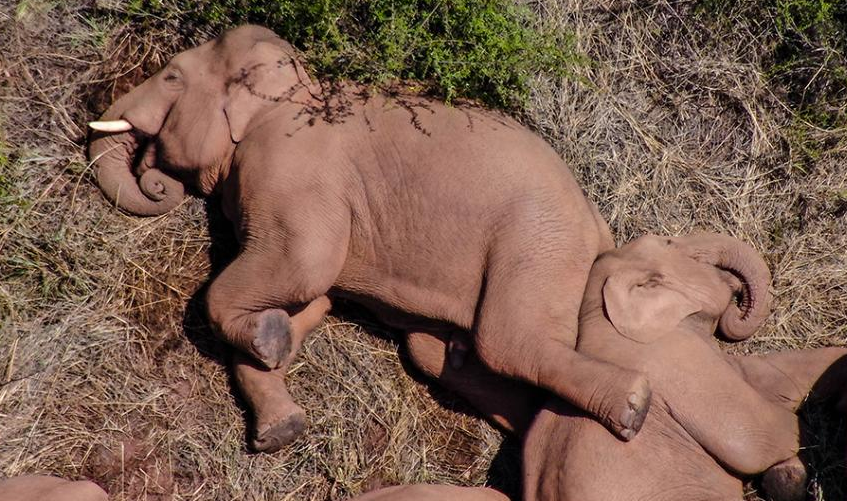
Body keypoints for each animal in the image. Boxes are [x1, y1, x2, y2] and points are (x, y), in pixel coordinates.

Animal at [82, 24, 735, 453]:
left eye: (171, 76)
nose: (156, 180)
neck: (293, 89)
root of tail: (597, 224)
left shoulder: (293, 171)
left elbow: (304, 266)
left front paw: (269, 341)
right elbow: (312, 295)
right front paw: (282, 406)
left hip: (536, 240)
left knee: (509, 341)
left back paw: (632, 409)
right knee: (435, 351)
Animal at [410, 232, 847, 501]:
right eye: (670, 241)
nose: (736, 294)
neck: (598, 316)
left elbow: (769, 375)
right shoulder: (676, 360)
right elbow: (755, 438)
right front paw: (792, 470)